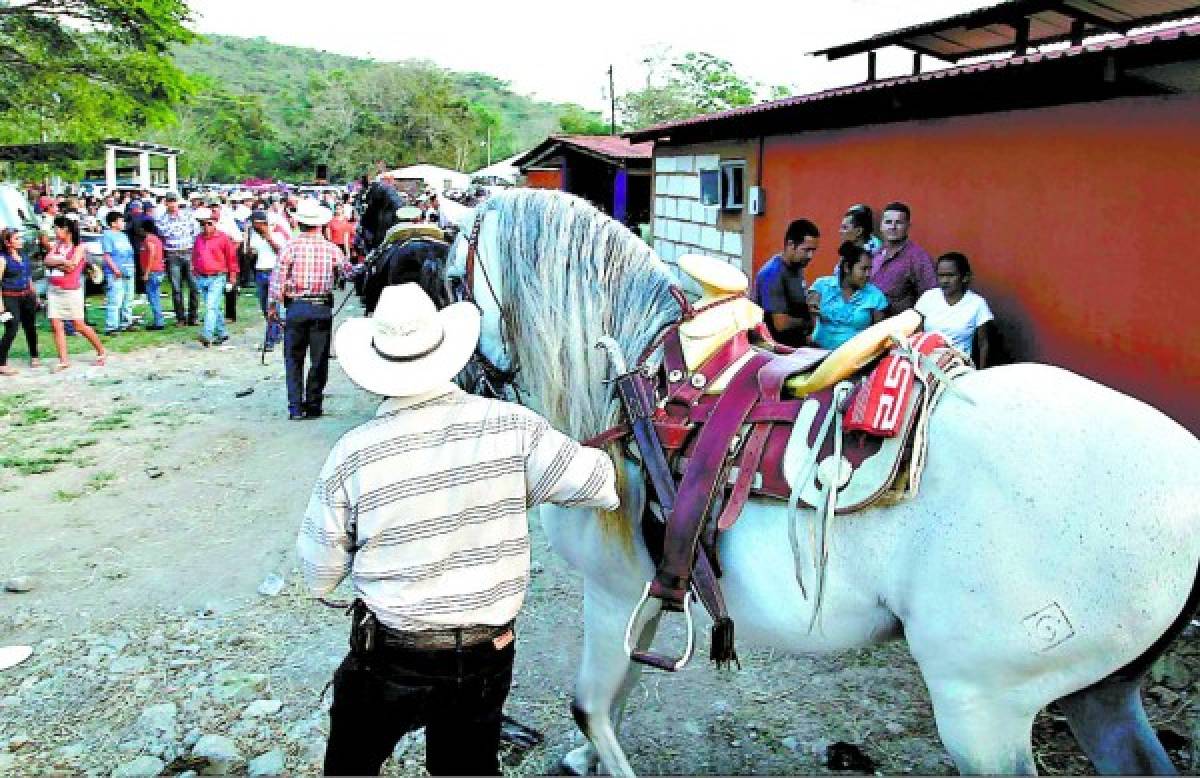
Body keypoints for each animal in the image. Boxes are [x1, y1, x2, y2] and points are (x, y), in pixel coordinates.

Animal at [446, 189, 1195, 778]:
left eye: (451, 276)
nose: (456, 382)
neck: (631, 387)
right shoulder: (650, 585)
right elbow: (618, 694)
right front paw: (584, 760)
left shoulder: (611, 590)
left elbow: (593, 705)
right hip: (1100, 696)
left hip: (981, 708)